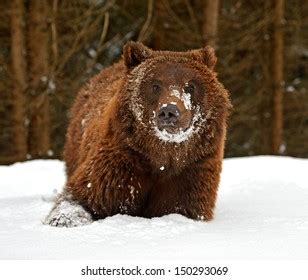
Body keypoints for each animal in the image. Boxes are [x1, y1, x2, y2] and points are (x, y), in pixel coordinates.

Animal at [43, 41, 231, 228]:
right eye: (155, 85)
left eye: (190, 86)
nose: (169, 111)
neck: (161, 156)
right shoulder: (120, 163)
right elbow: (81, 197)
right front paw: (63, 220)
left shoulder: (192, 170)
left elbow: (182, 206)